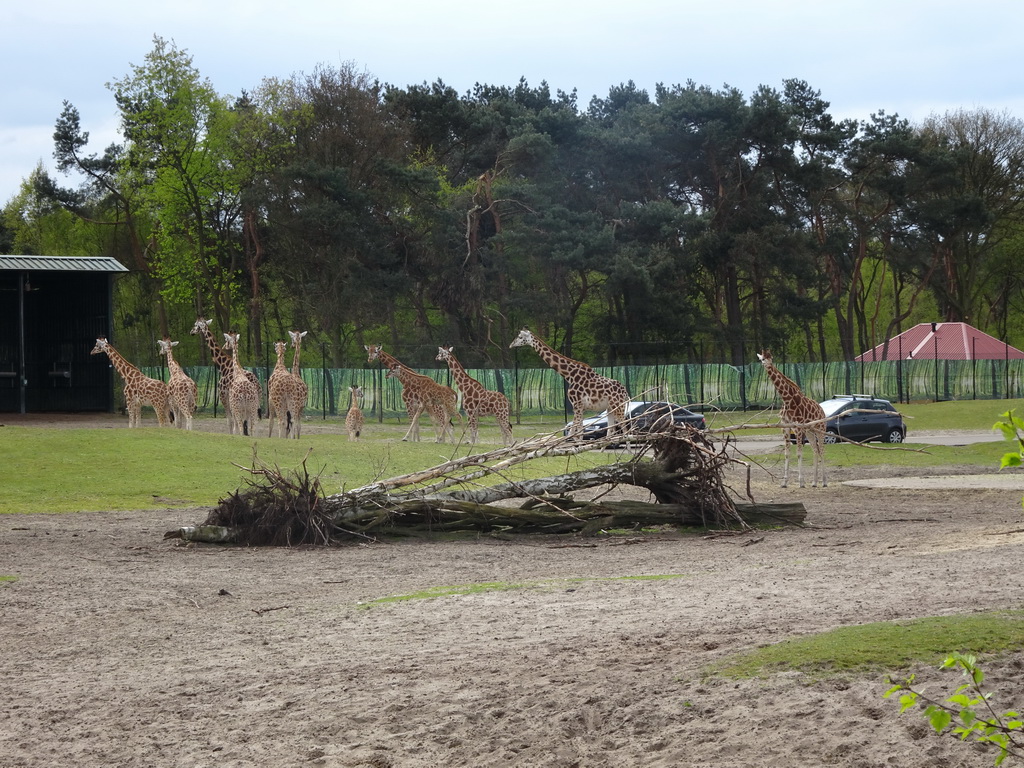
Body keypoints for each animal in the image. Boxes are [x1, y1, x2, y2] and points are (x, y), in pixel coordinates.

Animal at [757, 352, 827, 489]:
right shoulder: (785, 427)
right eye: (762, 359)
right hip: (810, 431)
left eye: (771, 358)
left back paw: (824, 482)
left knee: (822, 450)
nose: (768, 365)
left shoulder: (798, 428)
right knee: (815, 450)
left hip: (820, 429)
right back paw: (814, 482)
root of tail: (822, 410)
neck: (787, 400)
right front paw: (784, 482)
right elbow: (787, 453)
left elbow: (799, 453)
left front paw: (801, 482)